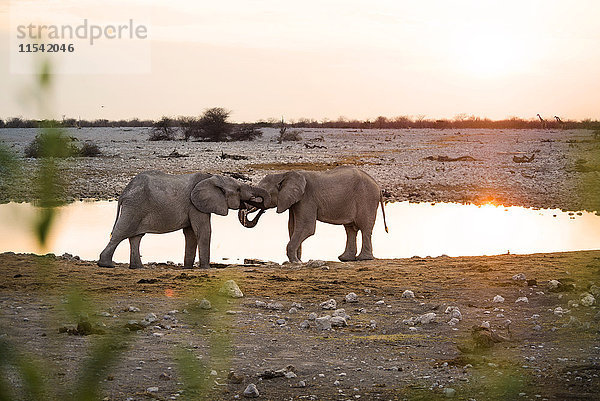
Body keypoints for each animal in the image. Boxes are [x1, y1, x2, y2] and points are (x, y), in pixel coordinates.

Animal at [99, 170, 268, 268]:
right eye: (238, 189)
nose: (264, 209)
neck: (212, 178)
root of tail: (124, 191)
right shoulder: (196, 205)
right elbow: (203, 231)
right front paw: (206, 268)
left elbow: (191, 234)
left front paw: (188, 268)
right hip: (134, 206)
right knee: (121, 233)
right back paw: (106, 265)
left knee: (136, 237)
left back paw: (137, 267)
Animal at [239, 166, 390, 262]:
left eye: (261, 194)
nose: (262, 211)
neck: (284, 174)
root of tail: (377, 185)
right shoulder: (294, 201)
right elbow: (292, 227)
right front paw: (297, 260)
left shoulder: (307, 198)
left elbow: (306, 227)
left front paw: (295, 262)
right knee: (350, 229)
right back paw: (345, 259)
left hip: (367, 198)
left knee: (364, 228)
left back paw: (363, 259)